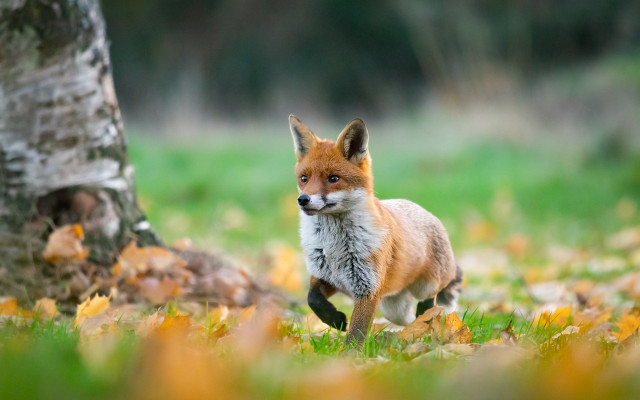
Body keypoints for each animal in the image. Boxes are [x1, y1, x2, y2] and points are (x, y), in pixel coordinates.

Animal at [289, 115, 462, 344]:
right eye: (304, 178)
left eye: (333, 178)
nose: (303, 199)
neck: (334, 248)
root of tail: (424, 210)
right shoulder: (327, 277)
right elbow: (312, 299)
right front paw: (335, 320)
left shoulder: (367, 289)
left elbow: (357, 332)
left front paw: (349, 352)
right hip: (393, 308)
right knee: (408, 318)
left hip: (425, 286)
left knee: (429, 304)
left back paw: (424, 322)